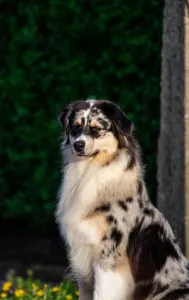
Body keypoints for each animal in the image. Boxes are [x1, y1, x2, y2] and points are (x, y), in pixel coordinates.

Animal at [55, 99, 189, 298]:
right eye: (75, 127)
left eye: (96, 129)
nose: (78, 145)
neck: (88, 171)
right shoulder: (82, 260)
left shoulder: (108, 257)